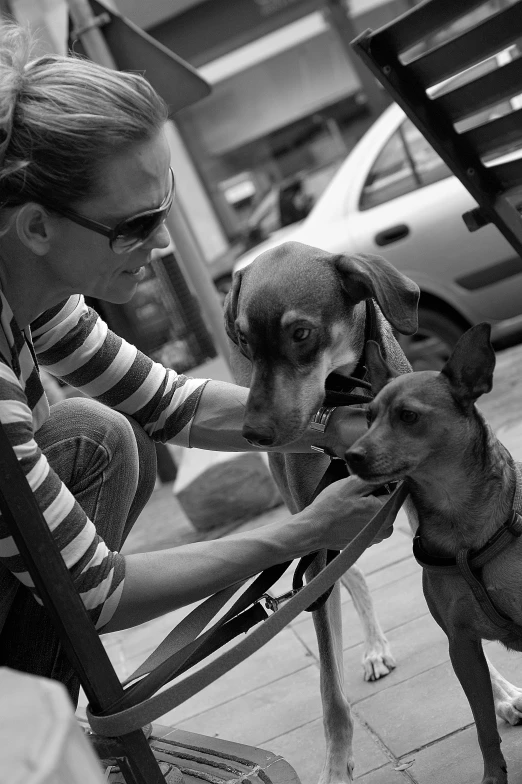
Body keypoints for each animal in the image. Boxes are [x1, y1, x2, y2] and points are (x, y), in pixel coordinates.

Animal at [223, 242, 418, 780]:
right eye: (244, 340)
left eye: (301, 333)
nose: (253, 433)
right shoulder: (320, 534)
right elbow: (332, 694)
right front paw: (335, 768)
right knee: (351, 578)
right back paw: (373, 649)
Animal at [344, 324, 520, 784]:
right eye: (367, 417)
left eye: (408, 416)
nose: (351, 455)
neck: (461, 524)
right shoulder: (462, 647)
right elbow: (483, 726)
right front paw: (493, 777)